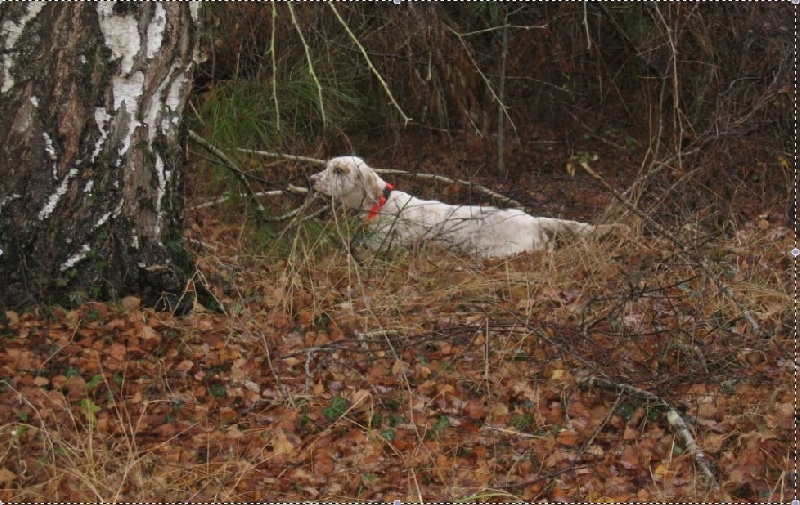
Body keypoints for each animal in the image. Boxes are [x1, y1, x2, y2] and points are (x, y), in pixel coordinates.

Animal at [310, 156, 608, 258]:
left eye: (338, 170)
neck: (381, 204)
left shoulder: (381, 246)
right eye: (326, 166)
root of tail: (533, 219)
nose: (310, 180)